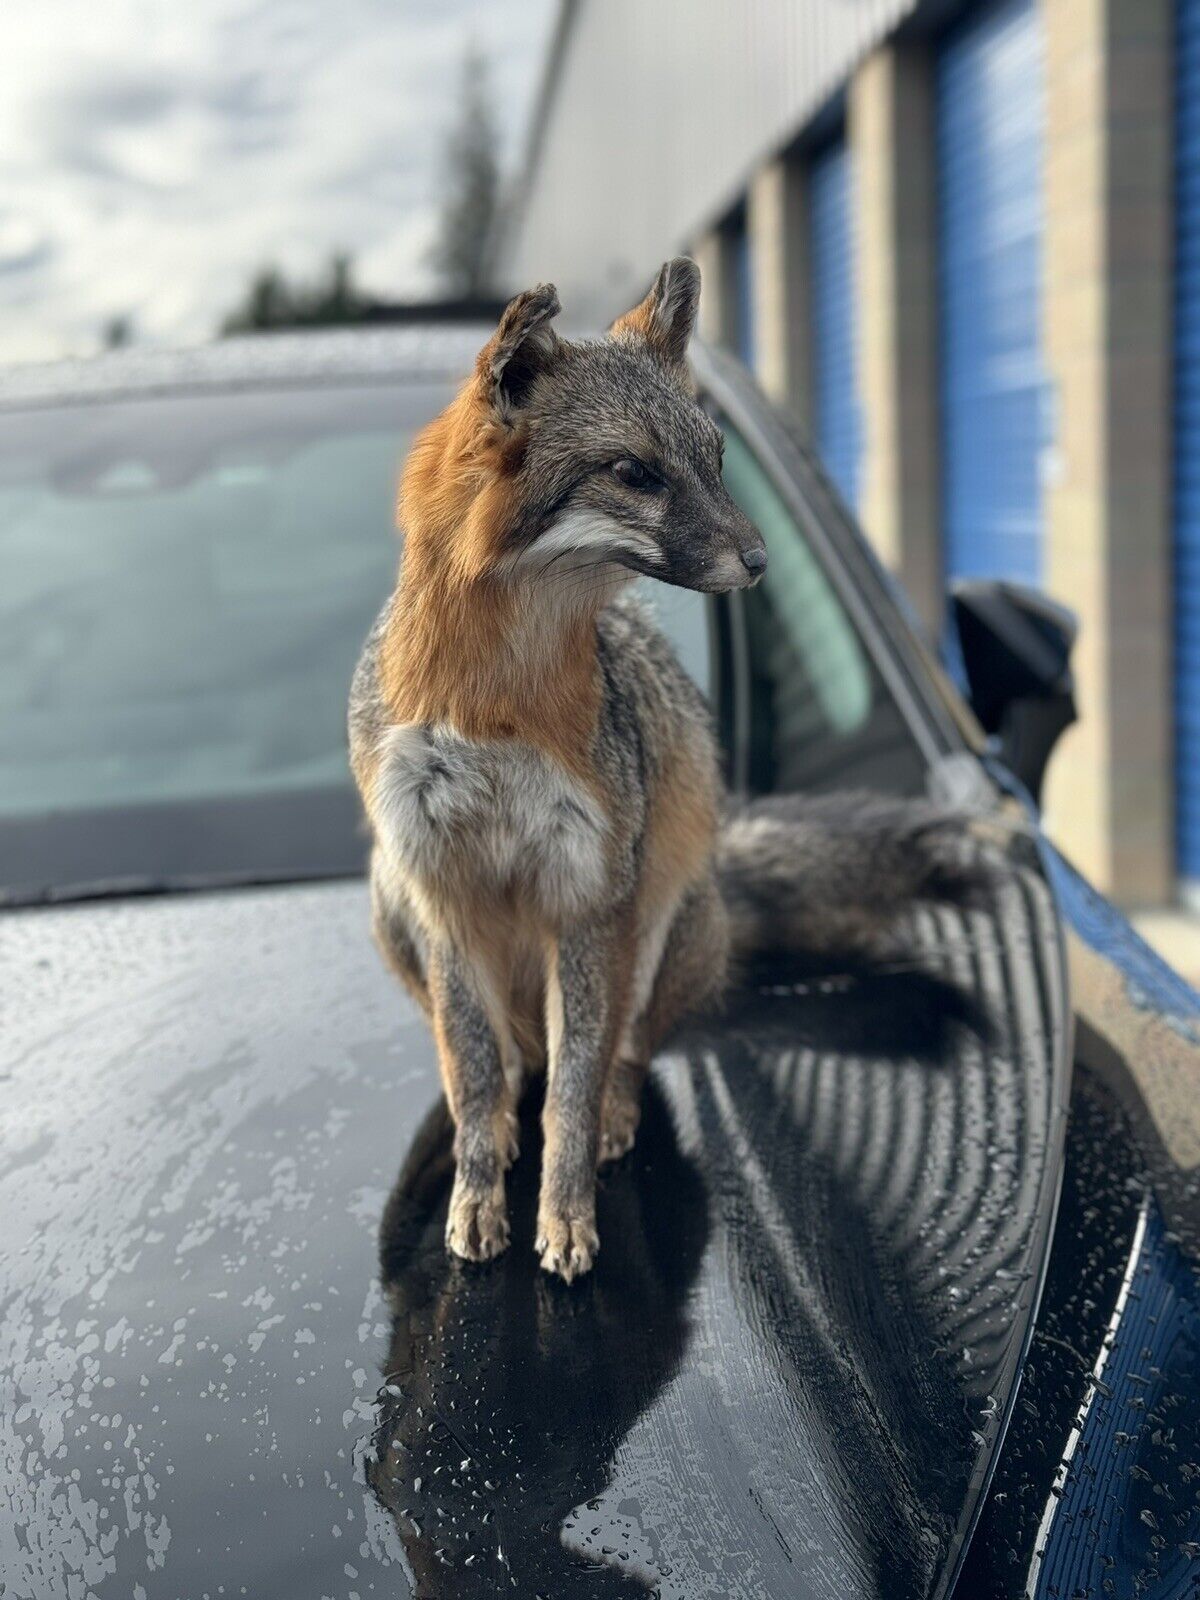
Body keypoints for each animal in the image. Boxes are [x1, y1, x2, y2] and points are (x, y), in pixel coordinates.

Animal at [349, 256, 983, 1282]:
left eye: (714, 462)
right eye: (635, 474)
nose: (761, 560)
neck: (492, 710)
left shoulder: (586, 895)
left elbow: (574, 1088)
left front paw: (566, 1214)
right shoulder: (443, 893)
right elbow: (478, 1076)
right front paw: (478, 1196)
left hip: (650, 924)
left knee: (622, 1054)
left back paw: (612, 1117)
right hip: (392, 905)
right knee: (506, 1063)